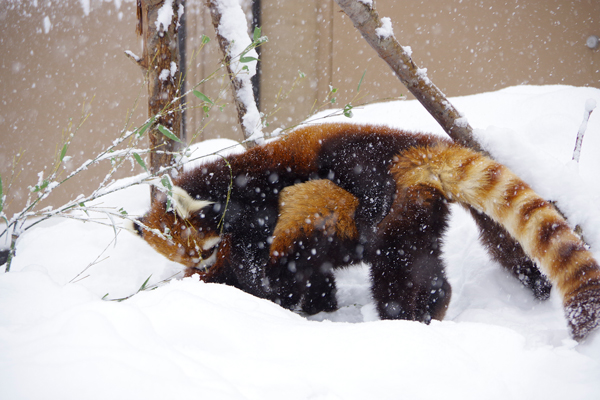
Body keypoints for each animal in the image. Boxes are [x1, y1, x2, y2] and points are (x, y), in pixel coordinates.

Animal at [132, 124, 600, 340]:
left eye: (202, 250)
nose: (202, 265)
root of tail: (417, 149)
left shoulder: (262, 196)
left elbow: (257, 258)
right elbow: (308, 277)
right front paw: (316, 307)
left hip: (374, 184)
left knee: (393, 271)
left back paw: (403, 320)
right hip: (420, 217)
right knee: (425, 264)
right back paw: (432, 308)